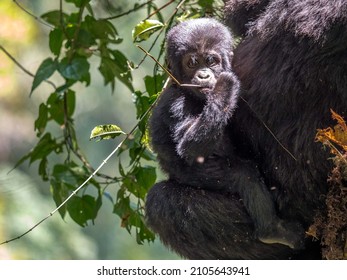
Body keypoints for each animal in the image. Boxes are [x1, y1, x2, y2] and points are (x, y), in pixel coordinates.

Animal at [148, 17, 304, 249]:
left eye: (211, 60)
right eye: (192, 63)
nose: (204, 75)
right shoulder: (176, 104)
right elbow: (189, 147)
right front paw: (225, 85)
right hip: (197, 177)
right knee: (243, 175)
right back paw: (271, 230)